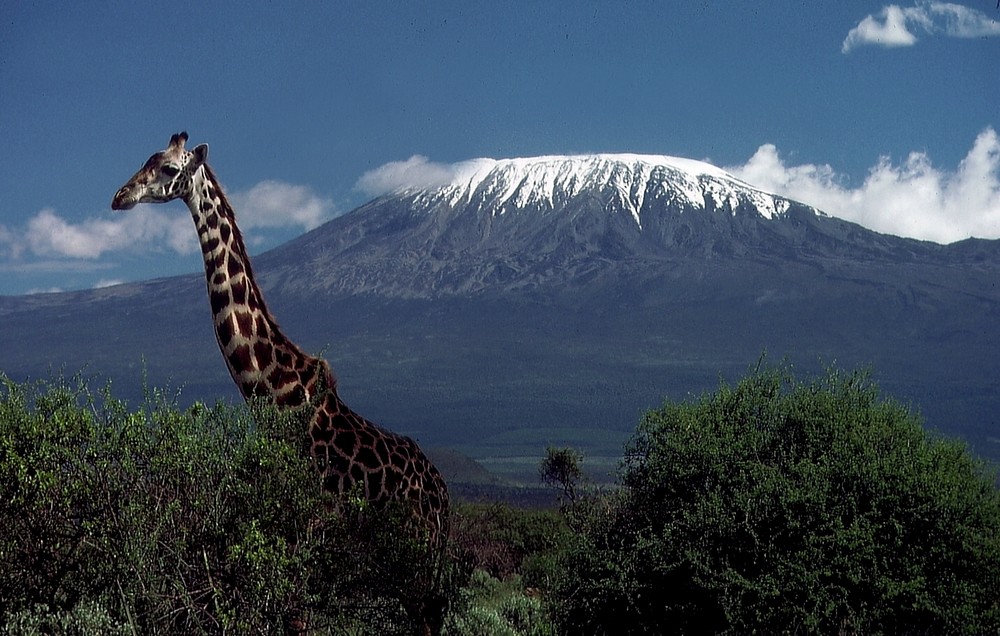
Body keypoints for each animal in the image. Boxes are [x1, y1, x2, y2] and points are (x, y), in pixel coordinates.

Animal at [112, 132, 450, 632]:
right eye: (146, 159)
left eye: (170, 169)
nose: (120, 196)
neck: (273, 395)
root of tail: (444, 498)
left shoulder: (310, 526)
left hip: (420, 560)